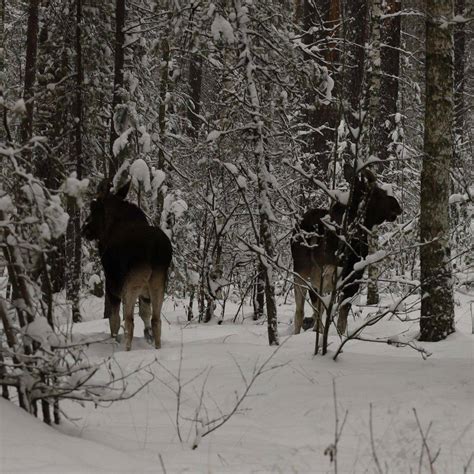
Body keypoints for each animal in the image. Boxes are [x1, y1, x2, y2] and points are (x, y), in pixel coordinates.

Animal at [82, 180, 173, 350]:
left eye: (93, 206)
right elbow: (145, 314)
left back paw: (126, 350)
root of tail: (155, 249)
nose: (85, 229)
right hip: (158, 283)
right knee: (156, 320)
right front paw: (147, 336)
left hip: (131, 283)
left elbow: (114, 319)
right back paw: (157, 347)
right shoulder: (145, 293)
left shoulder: (111, 285)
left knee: (129, 321)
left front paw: (114, 341)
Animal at [290, 165, 402, 336]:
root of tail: (312, 229)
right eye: (377, 193)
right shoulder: (352, 275)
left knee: (301, 311)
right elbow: (343, 313)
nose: (397, 206)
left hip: (301, 272)